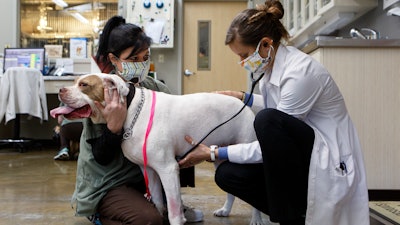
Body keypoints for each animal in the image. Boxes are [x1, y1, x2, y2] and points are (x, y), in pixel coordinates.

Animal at [50, 74, 264, 225]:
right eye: (74, 81)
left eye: (84, 85)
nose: (60, 89)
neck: (130, 110)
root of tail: (243, 104)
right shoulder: (150, 170)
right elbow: (159, 204)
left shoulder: (168, 170)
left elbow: (174, 212)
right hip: (220, 157)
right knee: (230, 190)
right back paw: (225, 211)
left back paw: (257, 219)